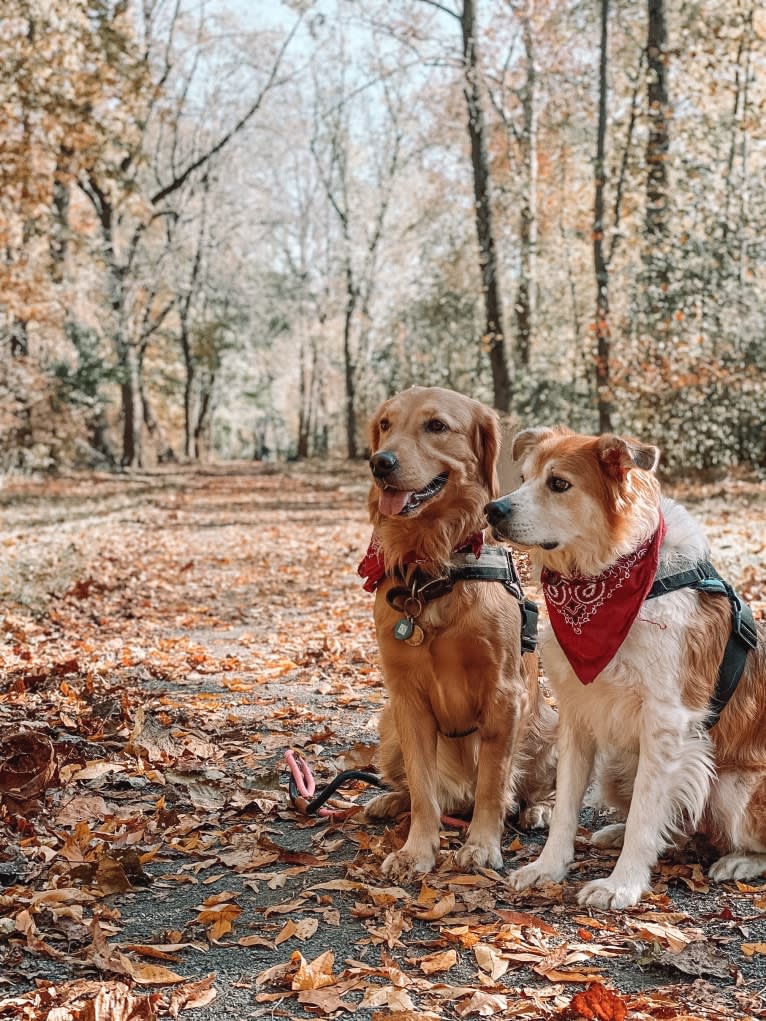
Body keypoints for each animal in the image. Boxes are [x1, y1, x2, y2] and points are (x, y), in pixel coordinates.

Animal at [486, 426, 766, 906]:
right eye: (522, 478)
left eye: (558, 484)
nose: (493, 509)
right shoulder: (577, 714)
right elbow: (568, 807)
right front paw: (548, 867)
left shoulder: (667, 722)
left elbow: (647, 813)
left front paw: (623, 883)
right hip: (617, 769)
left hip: (735, 786)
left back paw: (738, 861)